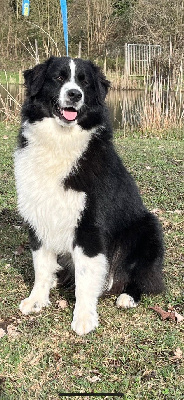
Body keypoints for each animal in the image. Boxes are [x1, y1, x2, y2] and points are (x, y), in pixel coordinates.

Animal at [14, 56, 164, 336]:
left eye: (84, 82)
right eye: (59, 77)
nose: (75, 94)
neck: (61, 140)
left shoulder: (89, 225)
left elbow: (85, 275)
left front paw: (84, 318)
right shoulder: (39, 215)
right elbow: (41, 265)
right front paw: (37, 300)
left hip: (148, 228)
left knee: (144, 276)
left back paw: (127, 296)